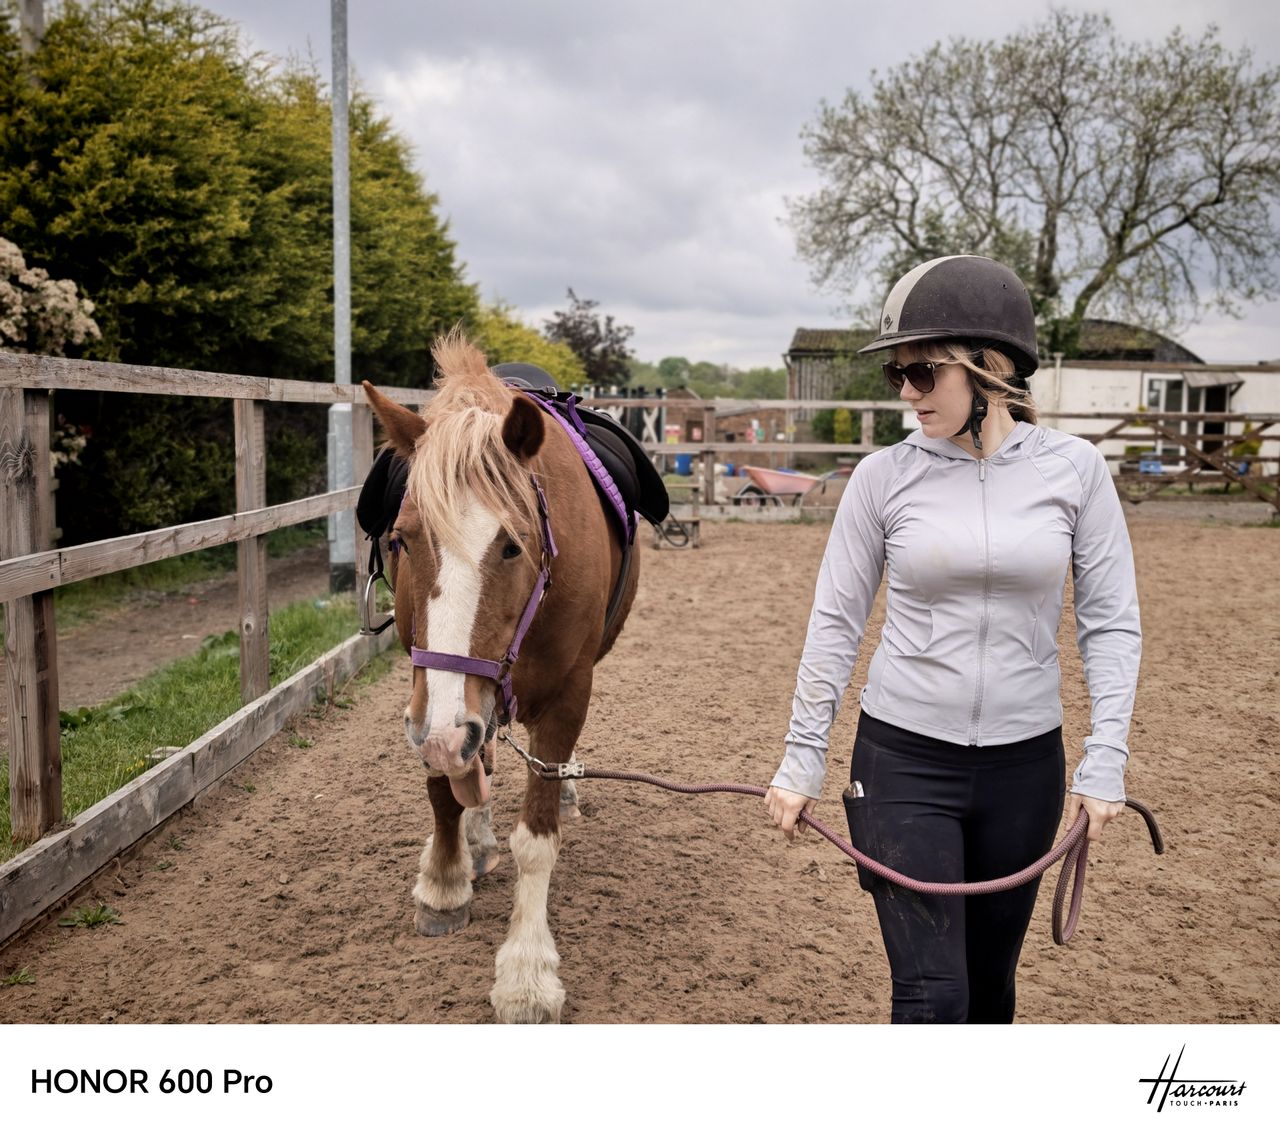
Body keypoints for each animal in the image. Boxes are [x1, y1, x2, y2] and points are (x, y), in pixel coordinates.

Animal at [361, 332, 642, 1023]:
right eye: (402, 539)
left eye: (512, 545)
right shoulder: (433, 693)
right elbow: (444, 785)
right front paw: (444, 881)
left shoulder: (566, 695)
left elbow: (537, 838)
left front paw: (527, 971)